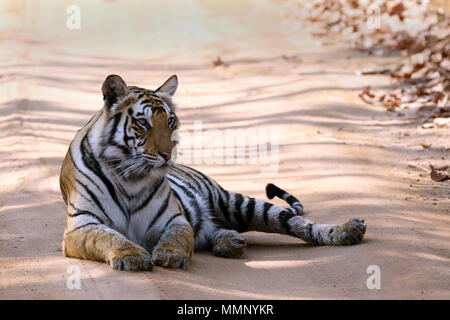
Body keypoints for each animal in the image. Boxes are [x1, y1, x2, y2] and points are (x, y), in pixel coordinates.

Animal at [59, 74, 368, 270]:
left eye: (170, 121)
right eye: (143, 123)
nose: (169, 154)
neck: (130, 176)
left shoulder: (174, 218)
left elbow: (178, 236)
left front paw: (169, 254)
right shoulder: (81, 224)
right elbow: (109, 236)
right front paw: (131, 256)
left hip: (237, 204)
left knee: (301, 224)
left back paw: (347, 230)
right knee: (211, 231)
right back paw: (230, 241)